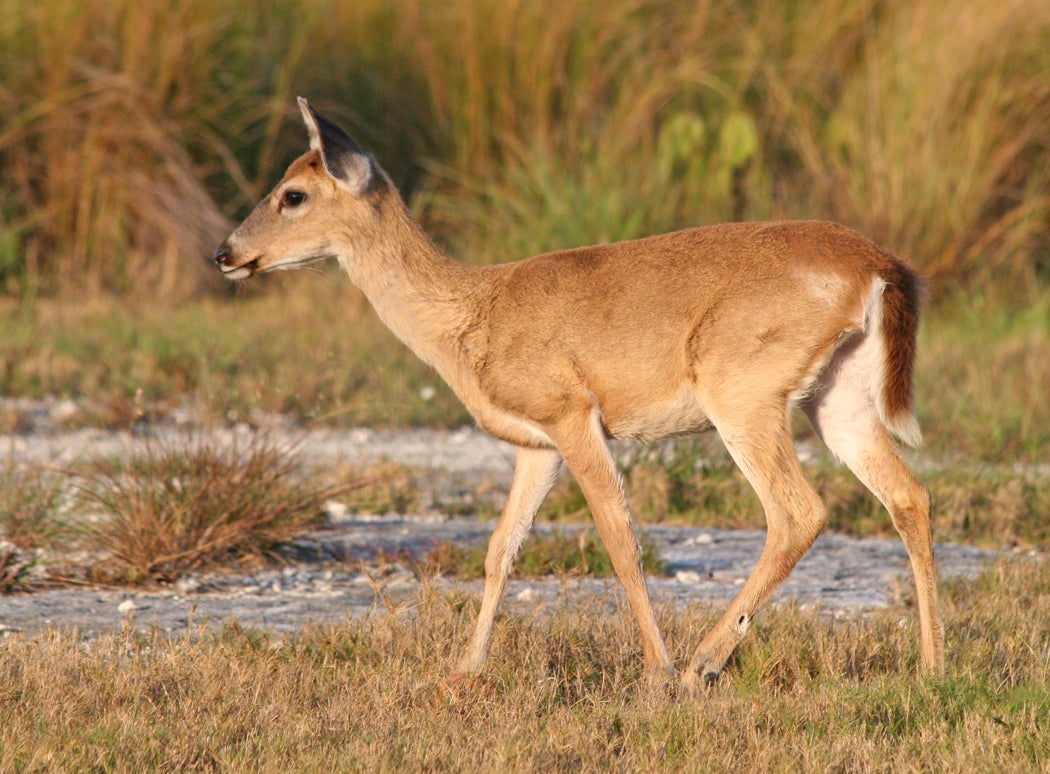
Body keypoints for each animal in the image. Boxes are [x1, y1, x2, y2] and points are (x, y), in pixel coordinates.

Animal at [211, 96, 944, 693]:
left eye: (293, 193)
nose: (225, 253)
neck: (470, 317)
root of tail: (879, 266)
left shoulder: (571, 413)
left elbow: (619, 536)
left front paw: (654, 673)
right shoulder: (535, 443)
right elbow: (501, 547)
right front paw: (462, 671)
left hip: (741, 390)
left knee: (798, 511)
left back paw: (701, 665)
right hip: (837, 397)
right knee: (908, 495)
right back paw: (932, 668)